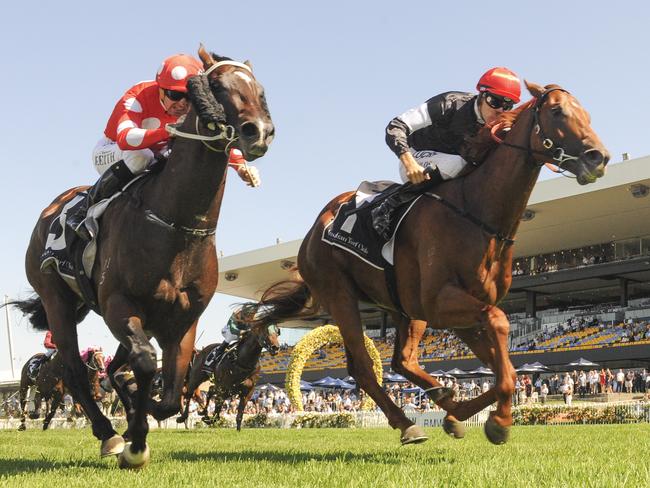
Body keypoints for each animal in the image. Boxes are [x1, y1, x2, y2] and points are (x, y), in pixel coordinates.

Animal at [11, 45, 272, 468]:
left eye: (259, 89)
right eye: (216, 86)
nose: (259, 131)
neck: (176, 226)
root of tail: (53, 207)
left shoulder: (182, 320)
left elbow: (169, 394)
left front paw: (141, 420)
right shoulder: (119, 305)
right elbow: (147, 365)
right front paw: (133, 441)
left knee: (118, 369)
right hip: (56, 299)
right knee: (75, 369)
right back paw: (107, 434)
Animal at [247, 81, 608, 446]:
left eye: (588, 115)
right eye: (557, 111)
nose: (599, 157)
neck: (477, 212)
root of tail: (311, 233)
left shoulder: (463, 311)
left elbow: (504, 367)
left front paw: (459, 412)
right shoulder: (441, 302)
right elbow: (501, 328)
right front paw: (499, 421)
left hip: (403, 307)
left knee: (402, 360)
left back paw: (443, 400)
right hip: (340, 295)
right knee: (363, 367)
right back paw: (408, 424)